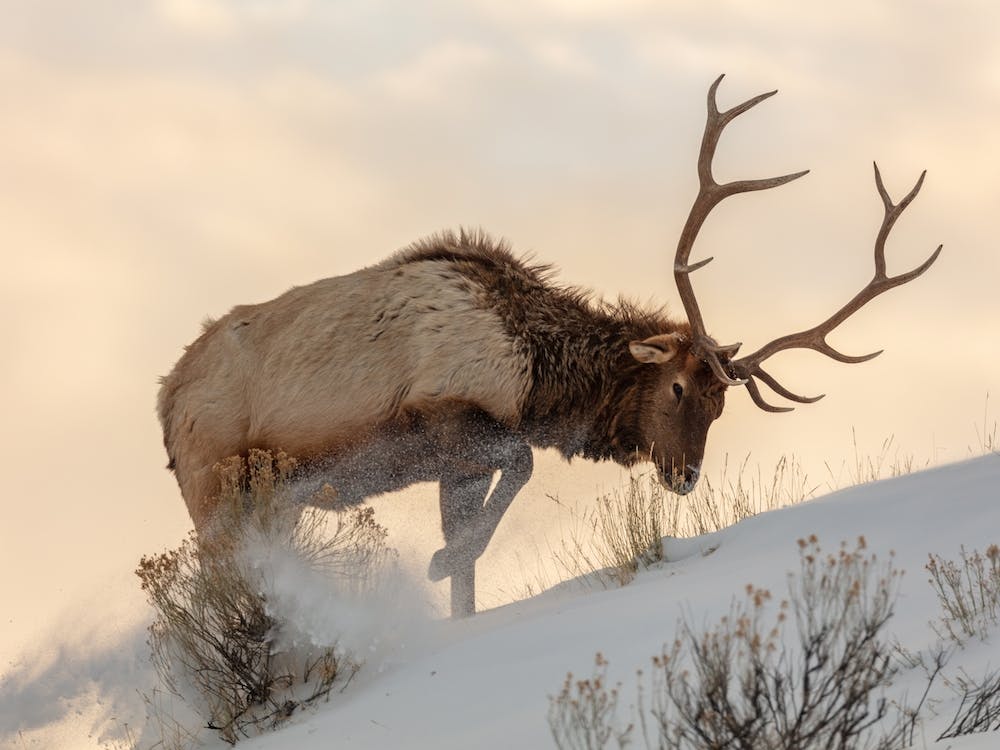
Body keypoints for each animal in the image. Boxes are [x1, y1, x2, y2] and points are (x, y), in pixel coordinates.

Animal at [158, 75, 941, 617]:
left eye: (723, 406)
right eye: (678, 387)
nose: (685, 476)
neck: (538, 377)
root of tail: (165, 401)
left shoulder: (455, 464)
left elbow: (474, 561)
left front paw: (451, 579)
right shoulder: (445, 417)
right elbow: (522, 467)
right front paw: (436, 561)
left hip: (270, 503)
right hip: (215, 492)